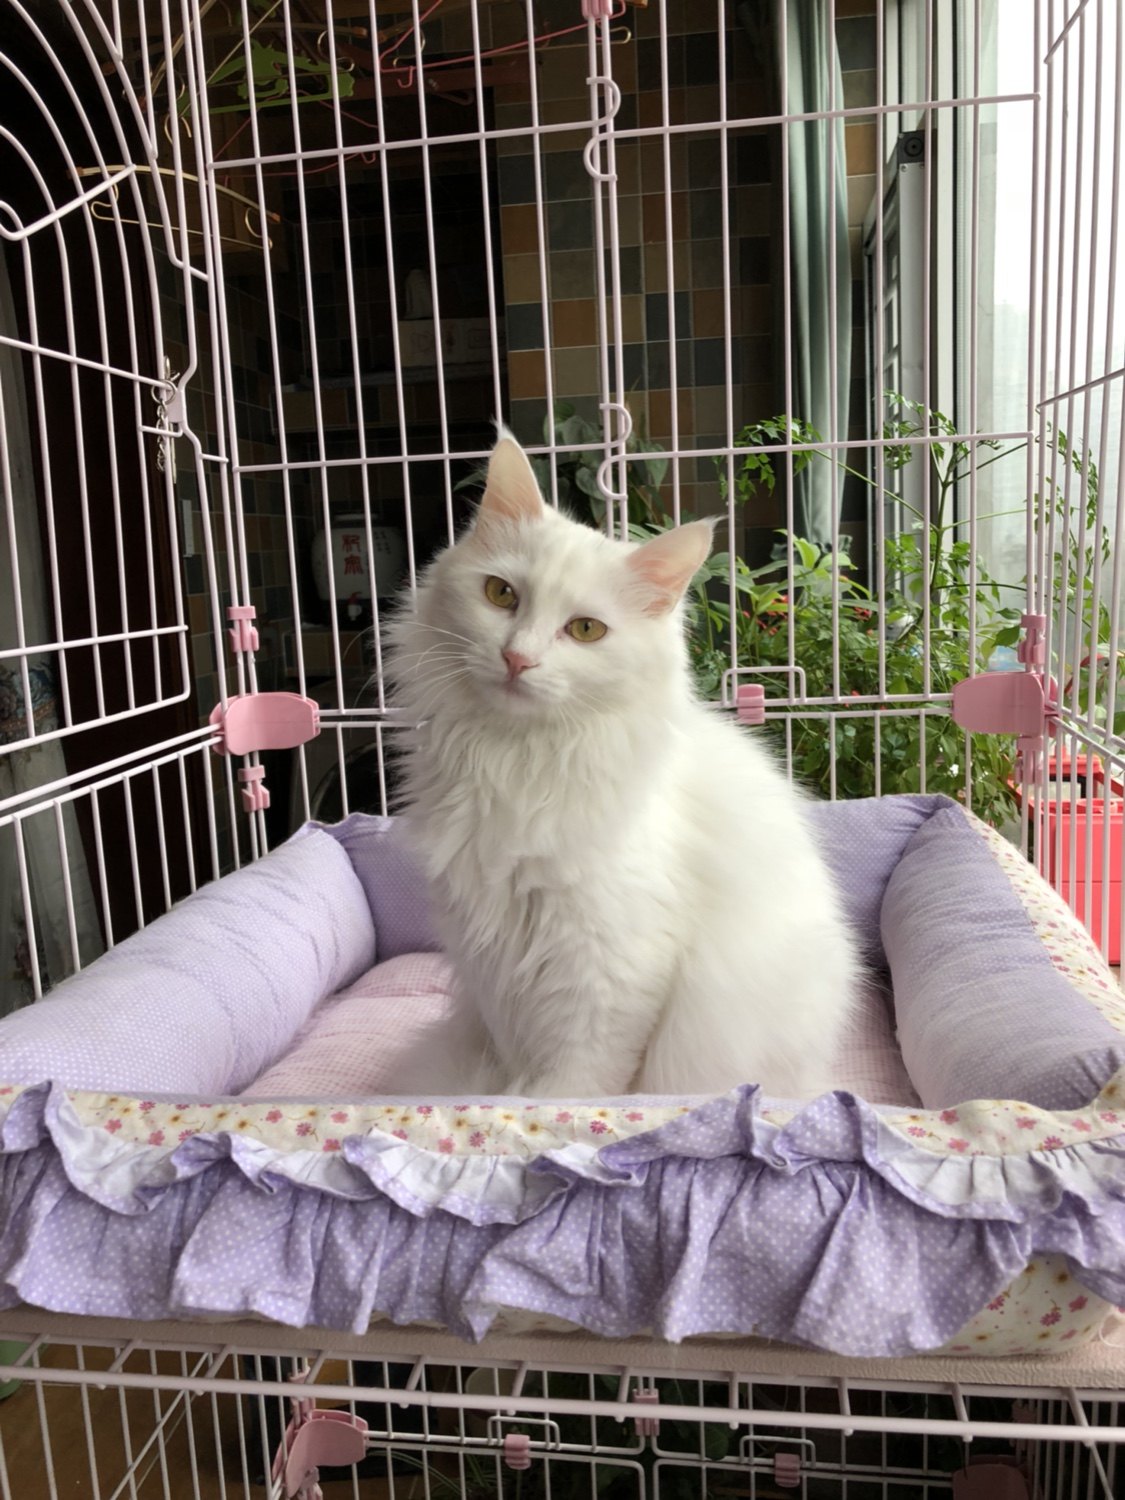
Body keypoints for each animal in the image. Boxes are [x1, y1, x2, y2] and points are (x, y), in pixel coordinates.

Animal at [388, 429, 860, 1099]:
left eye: (586, 630)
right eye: (501, 595)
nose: (517, 658)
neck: (514, 760)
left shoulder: (609, 962)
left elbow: (578, 1082)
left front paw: (544, 1109)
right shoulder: (490, 956)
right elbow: (515, 1059)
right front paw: (500, 1096)